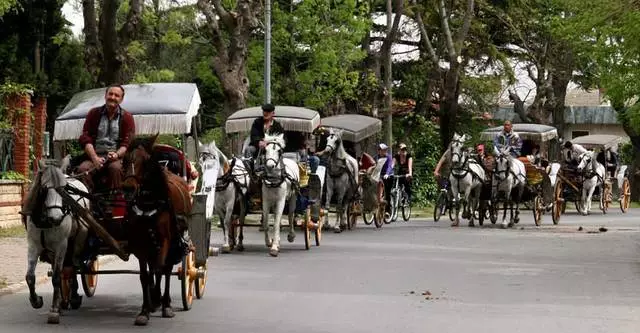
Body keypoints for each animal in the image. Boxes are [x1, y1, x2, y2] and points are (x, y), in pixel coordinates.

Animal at [22, 156, 89, 324]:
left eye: (64, 189)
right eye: (45, 188)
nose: (57, 218)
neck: (45, 220)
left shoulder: (61, 246)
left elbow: (58, 277)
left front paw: (53, 310)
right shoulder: (33, 245)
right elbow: (30, 277)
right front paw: (36, 301)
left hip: (77, 240)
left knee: (73, 266)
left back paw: (72, 297)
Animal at [122, 133, 192, 324]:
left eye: (146, 161)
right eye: (124, 159)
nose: (128, 188)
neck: (148, 204)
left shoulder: (165, 240)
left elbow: (160, 270)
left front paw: (157, 299)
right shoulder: (140, 244)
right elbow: (145, 276)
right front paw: (145, 309)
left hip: (174, 241)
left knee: (166, 269)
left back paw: (165, 302)